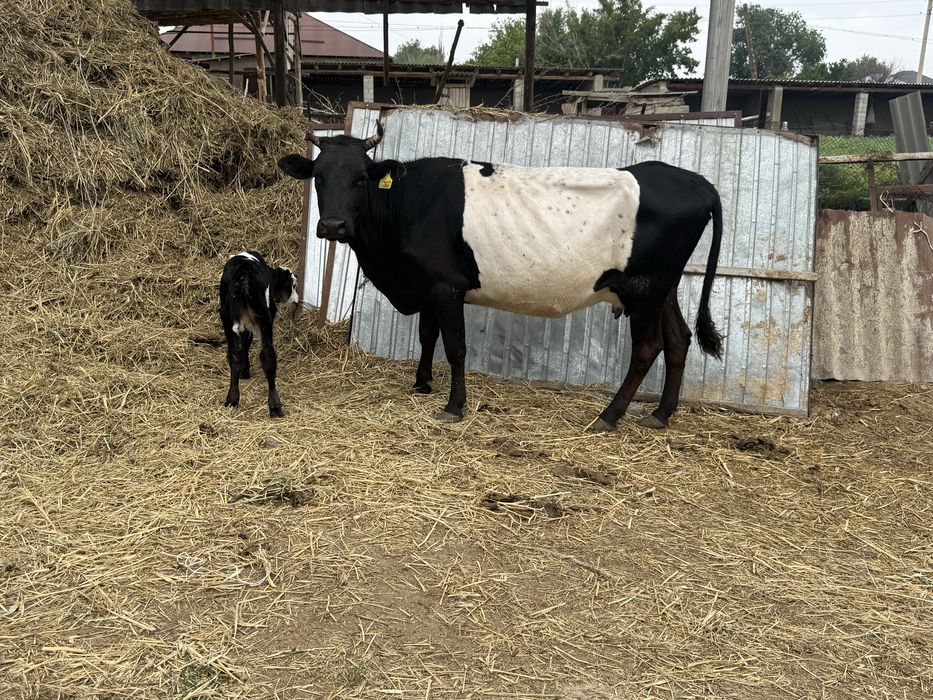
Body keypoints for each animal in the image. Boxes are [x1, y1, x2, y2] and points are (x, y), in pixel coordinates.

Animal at [219, 251, 299, 417]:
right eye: (293, 285)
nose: (297, 301)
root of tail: (245, 268)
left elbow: (244, 346)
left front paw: (244, 371)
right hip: (265, 321)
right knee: (268, 357)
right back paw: (275, 406)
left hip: (227, 321)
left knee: (233, 356)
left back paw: (232, 399)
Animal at [278, 121, 723, 431]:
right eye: (319, 176)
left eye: (360, 178)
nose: (332, 226)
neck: (406, 206)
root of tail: (695, 179)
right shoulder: (428, 285)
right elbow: (427, 335)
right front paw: (421, 384)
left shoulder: (446, 286)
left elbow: (455, 346)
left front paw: (454, 406)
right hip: (663, 288)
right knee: (679, 339)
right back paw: (661, 414)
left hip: (644, 289)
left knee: (647, 349)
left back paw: (609, 416)